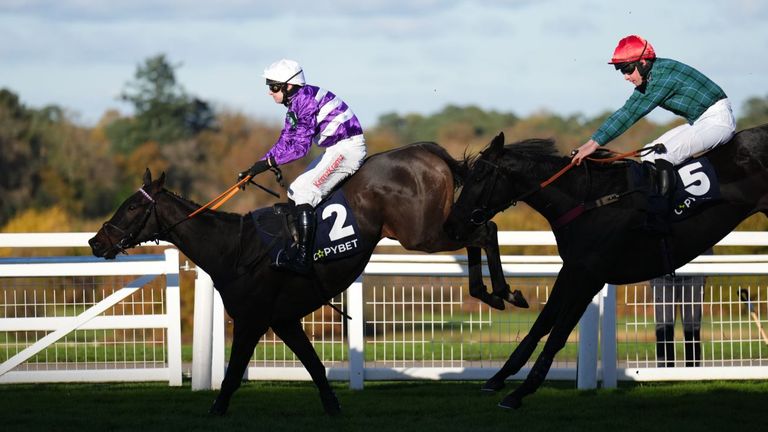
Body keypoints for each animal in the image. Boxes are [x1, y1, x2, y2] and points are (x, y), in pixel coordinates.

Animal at [87, 142, 524, 416]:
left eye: (131, 207)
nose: (96, 241)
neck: (234, 248)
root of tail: (428, 151)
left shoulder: (252, 319)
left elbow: (233, 373)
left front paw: (215, 408)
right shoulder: (284, 320)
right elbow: (313, 365)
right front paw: (333, 406)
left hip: (422, 233)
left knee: (485, 231)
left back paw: (501, 291)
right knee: (480, 230)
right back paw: (490, 291)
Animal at [440, 124, 768, 408]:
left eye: (480, 175)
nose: (452, 225)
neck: (588, 200)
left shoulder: (591, 277)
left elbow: (558, 335)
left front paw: (519, 393)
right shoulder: (572, 269)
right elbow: (541, 325)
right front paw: (498, 378)